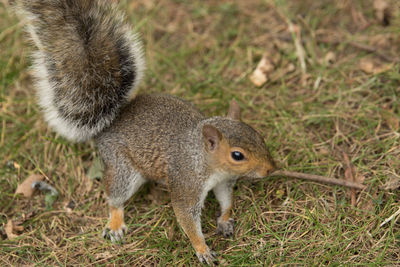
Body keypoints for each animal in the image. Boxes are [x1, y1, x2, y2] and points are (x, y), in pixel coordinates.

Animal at [15, 0, 276, 264]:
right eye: (237, 155)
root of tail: (112, 122)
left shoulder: (223, 182)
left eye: (259, 136)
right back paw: (115, 223)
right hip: (122, 168)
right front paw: (202, 249)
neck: (203, 158)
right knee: (115, 197)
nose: (270, 169)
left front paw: (224, 220)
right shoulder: (186, 184)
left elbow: (226, 200)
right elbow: (186, 217)